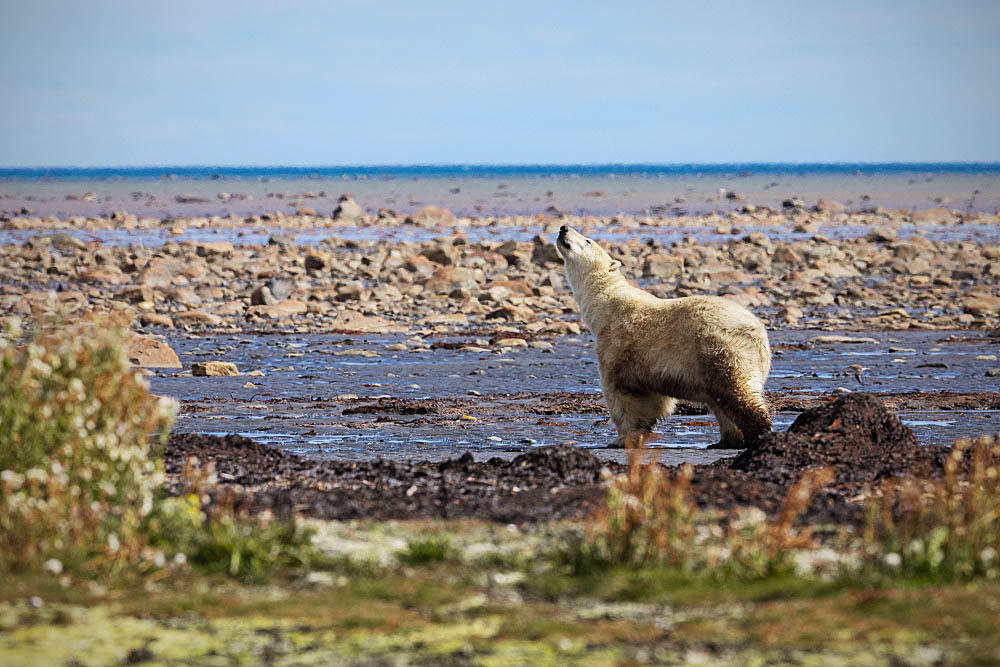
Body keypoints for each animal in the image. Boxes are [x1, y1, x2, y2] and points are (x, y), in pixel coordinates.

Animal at [556, 224, 772, 448]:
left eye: (588, 240)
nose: (564, 228)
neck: (606, 302)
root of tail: (758, 331)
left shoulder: (616, 345)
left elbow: (621, 395)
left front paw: (621, 439)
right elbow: (653, 399)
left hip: (719, 347)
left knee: (735, 391)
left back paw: (757, 434)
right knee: (721, 400)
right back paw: (726, 440)